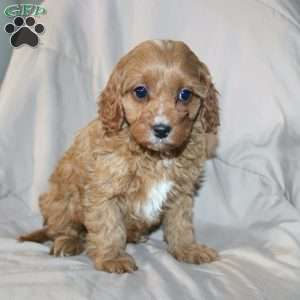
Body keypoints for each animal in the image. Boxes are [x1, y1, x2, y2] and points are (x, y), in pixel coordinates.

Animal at [19, 39, 220, 274]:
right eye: (140, 92)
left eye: (185, 94)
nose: (161, 129)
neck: (154, 156)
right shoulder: (104, 191)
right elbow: (109, 226)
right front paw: (112, 258)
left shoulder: (181, 191)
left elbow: (181, 224)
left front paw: (188, 249)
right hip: (59, 198)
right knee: (62, 227)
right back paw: (68, 242)